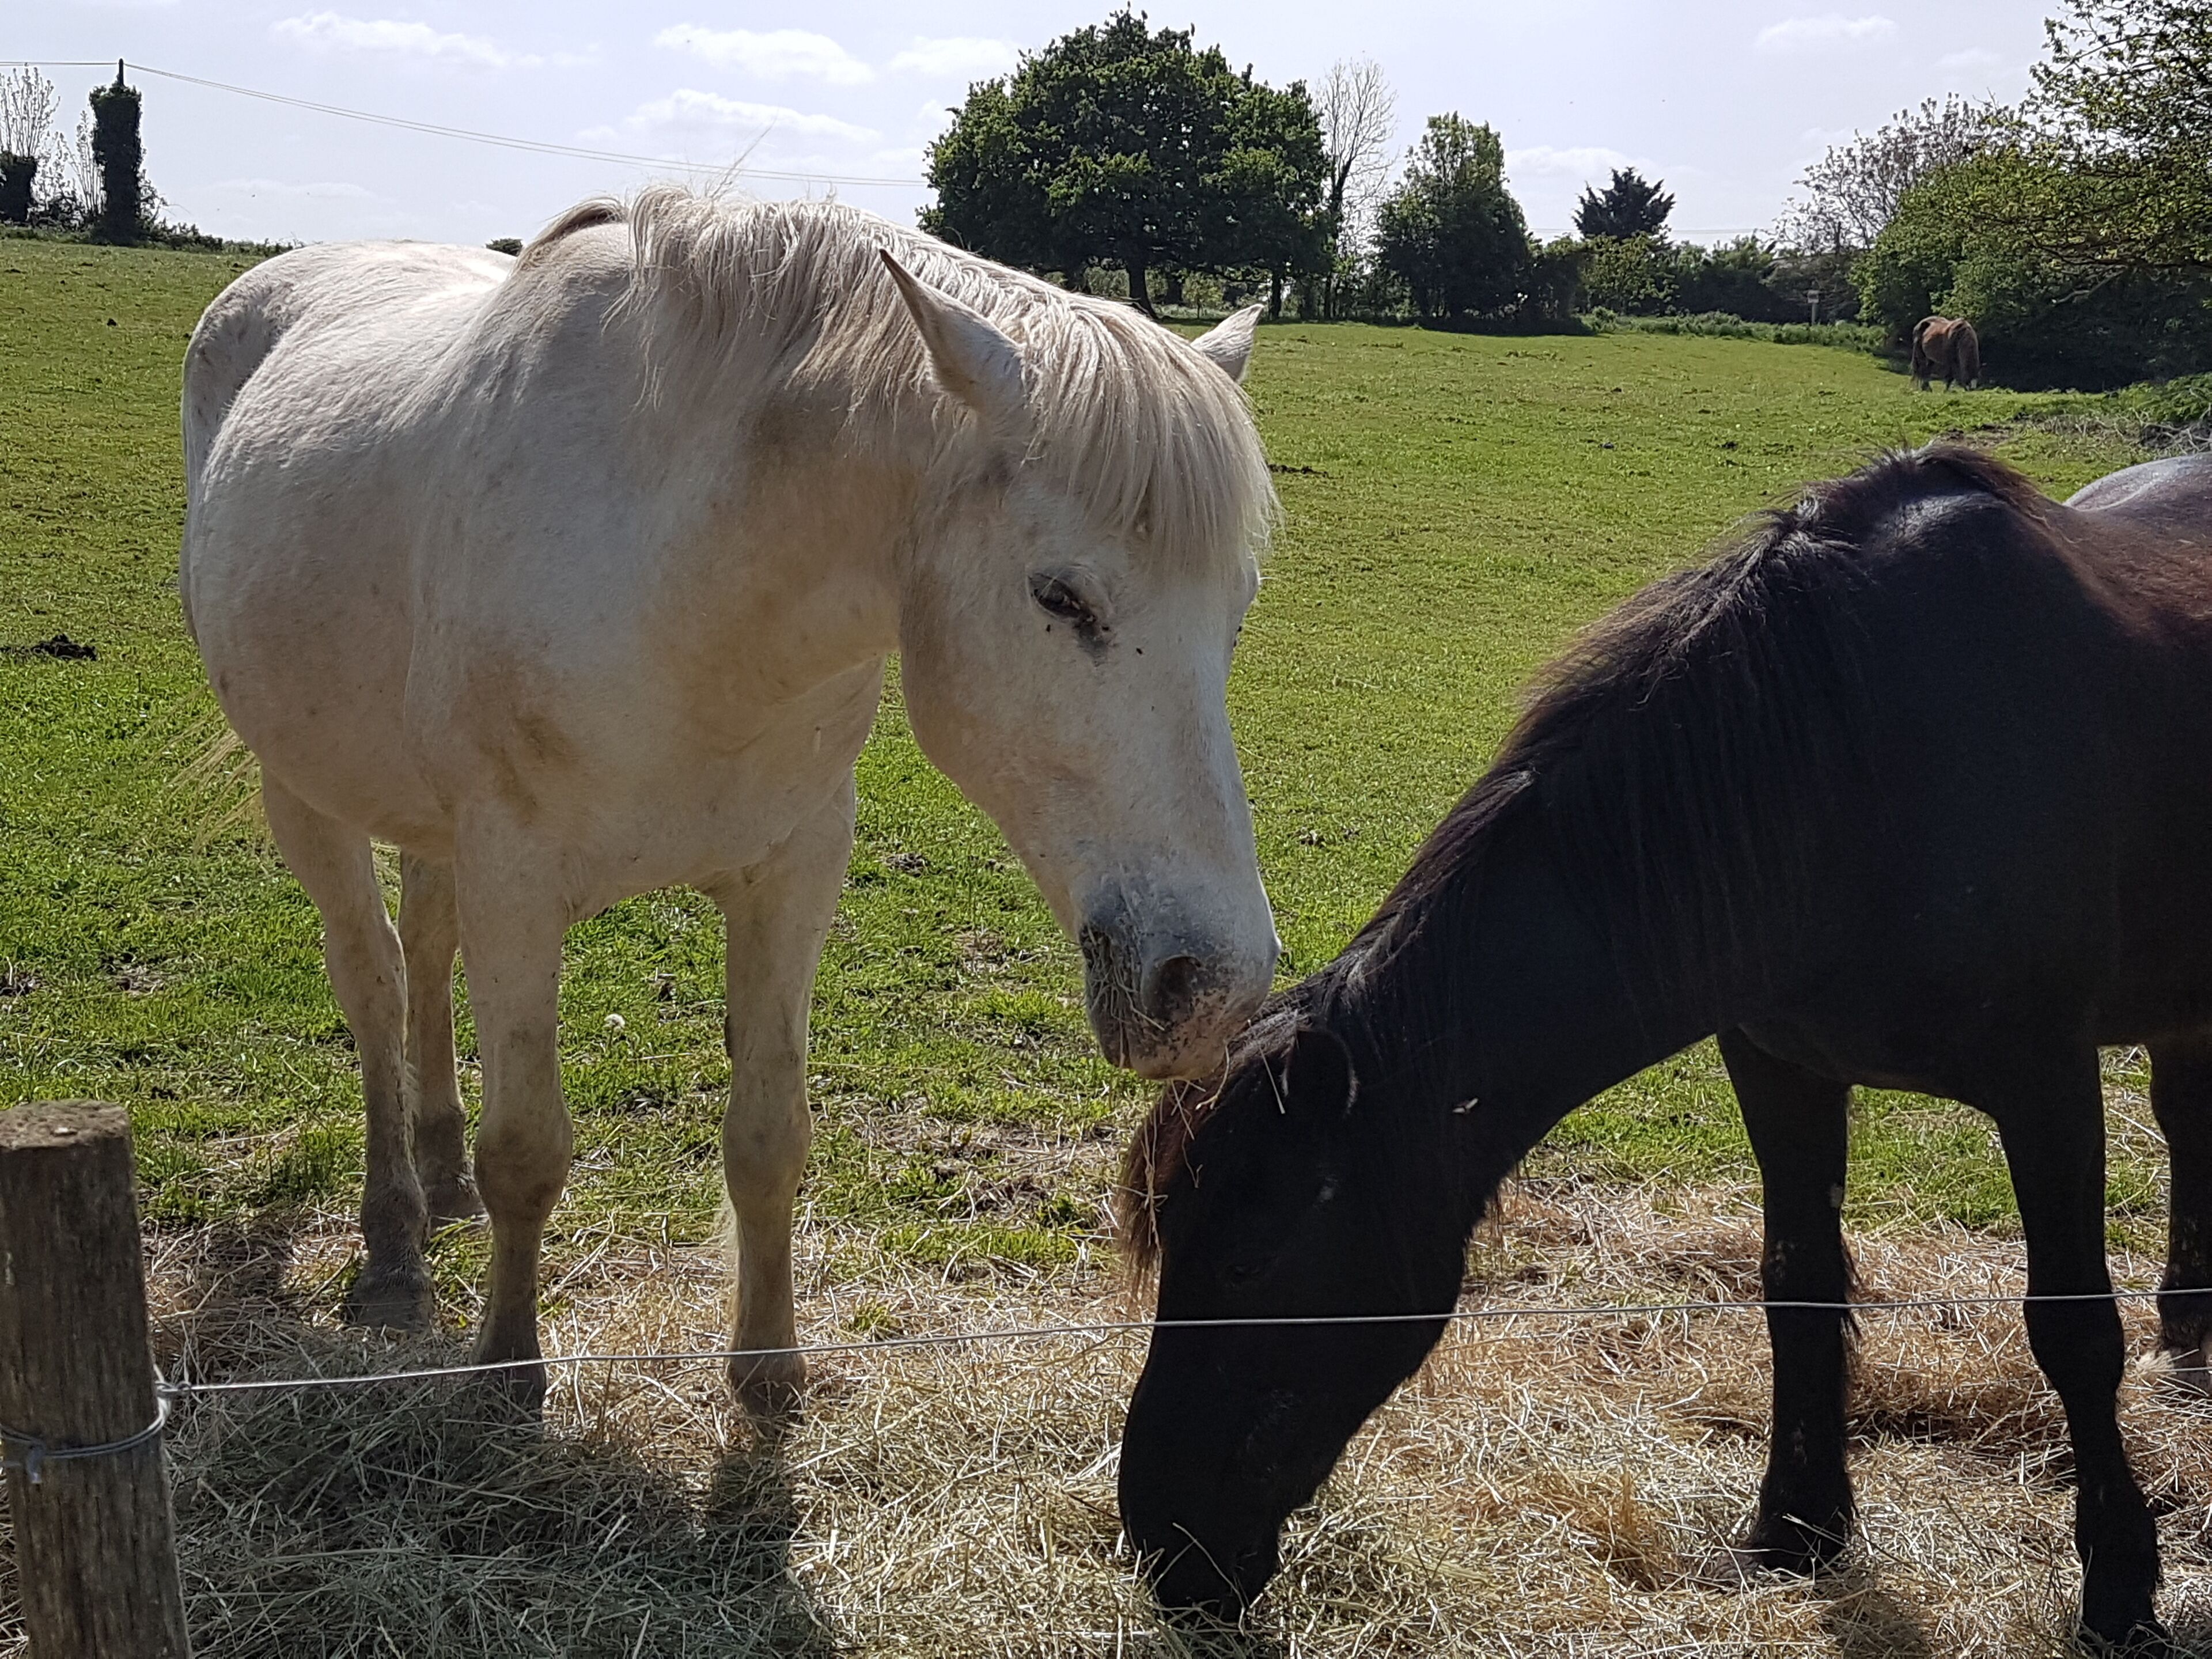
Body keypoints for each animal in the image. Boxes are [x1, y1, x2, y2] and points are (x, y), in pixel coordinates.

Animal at [180, 187, 1283, 1413]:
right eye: (1060, 597)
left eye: (1237, 607)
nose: (1214, 989)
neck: (684, 580)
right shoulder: (515, 879)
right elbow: (527, 1149)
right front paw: (509, 1368)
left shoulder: (791, 872)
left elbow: (768, 1139)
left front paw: (767, 1366)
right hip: (305, 793)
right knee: (372, 980)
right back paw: (392, 1237)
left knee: (422, 947)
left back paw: (435, 1162)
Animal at [1116, 445, 2212, 1654]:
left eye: (1247, 1262)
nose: (1163, 1541)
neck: (1846, 766)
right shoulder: (1780, 1068)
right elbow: (1798, 1284)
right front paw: (1797, 1525)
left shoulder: (2046, 1084)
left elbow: (2075, 1333)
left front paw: (2121, 1588)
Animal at [1912, 315, 1981, 390]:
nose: (1970, 389)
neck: (1959, 335)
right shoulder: (1951, 360)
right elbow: (1951, 374)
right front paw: (1947, 389)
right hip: (1921, 355)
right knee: (1923, 369)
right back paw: (1927, 388)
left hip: (1931, 359)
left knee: (1927, 370)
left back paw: (1927, 388)